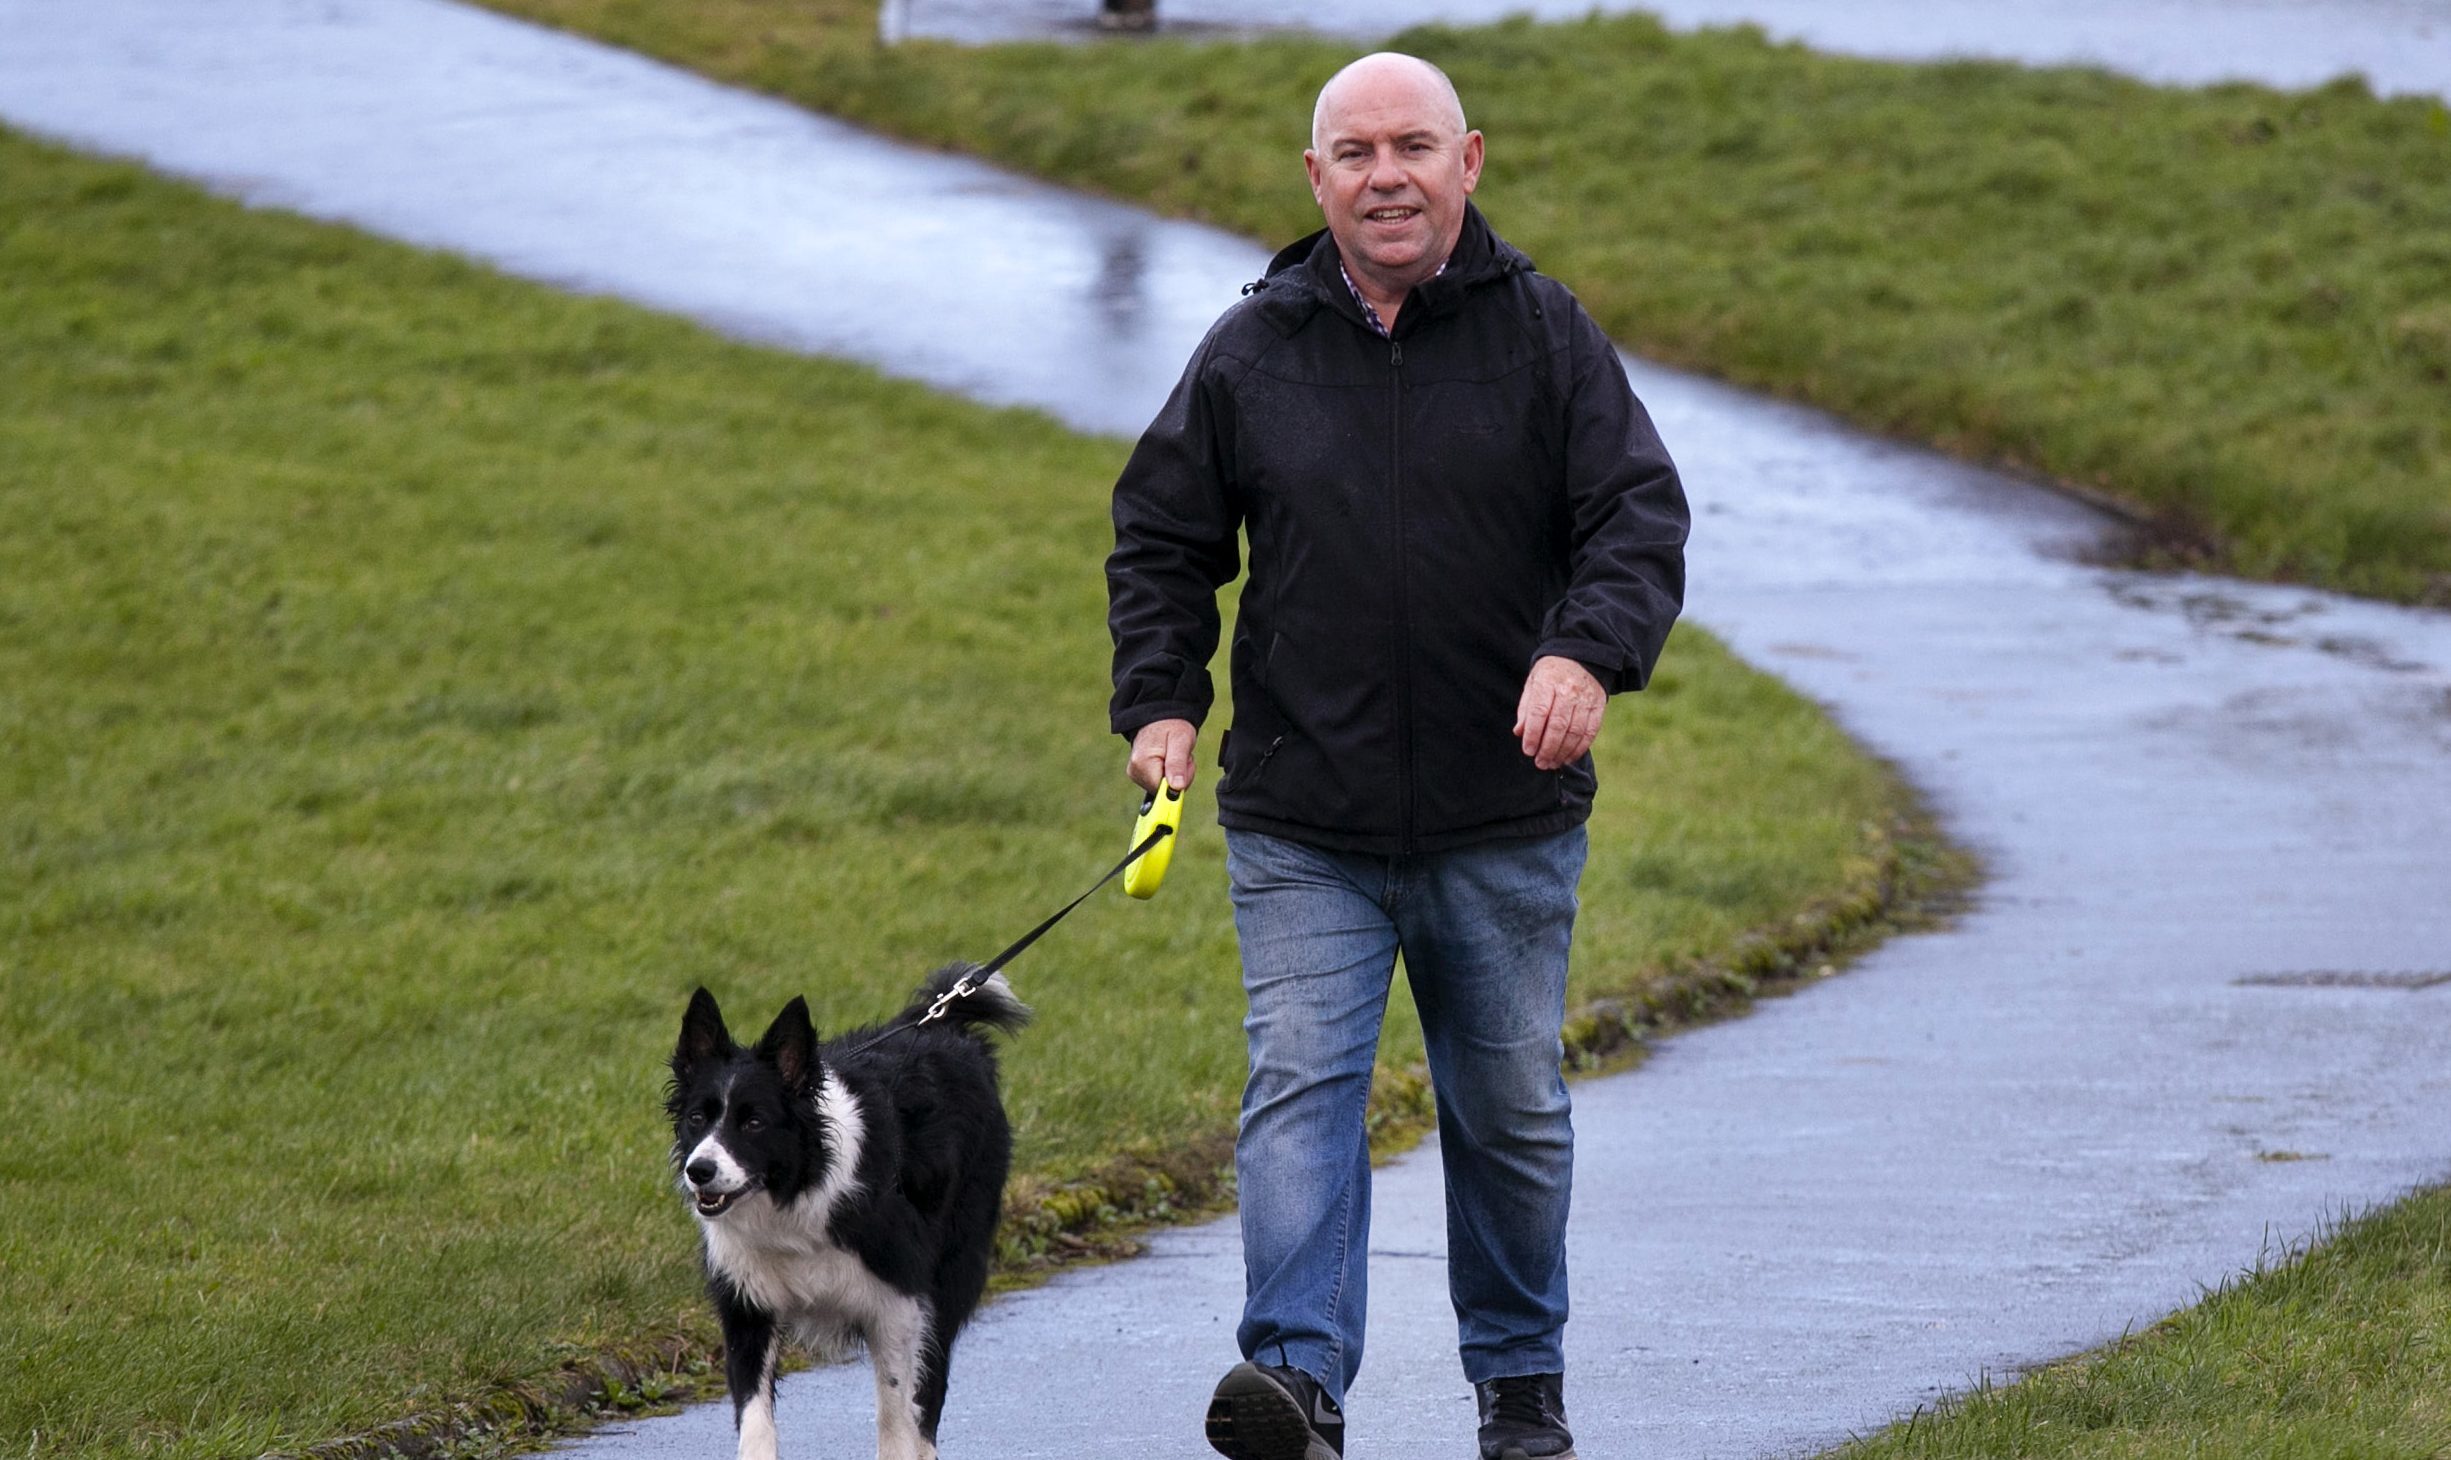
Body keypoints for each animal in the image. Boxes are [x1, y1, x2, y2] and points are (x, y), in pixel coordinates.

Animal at [666, 965, 1029, 1450]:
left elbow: (896, 1416)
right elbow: (756, 1420)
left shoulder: (899, 1303)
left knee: (929, 1399)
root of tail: (945, 1027)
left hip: (951, 1276)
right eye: (696, 1118)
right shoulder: (747, 1306)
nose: (700, 1171)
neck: (798, 1192)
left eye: (754, 1122)